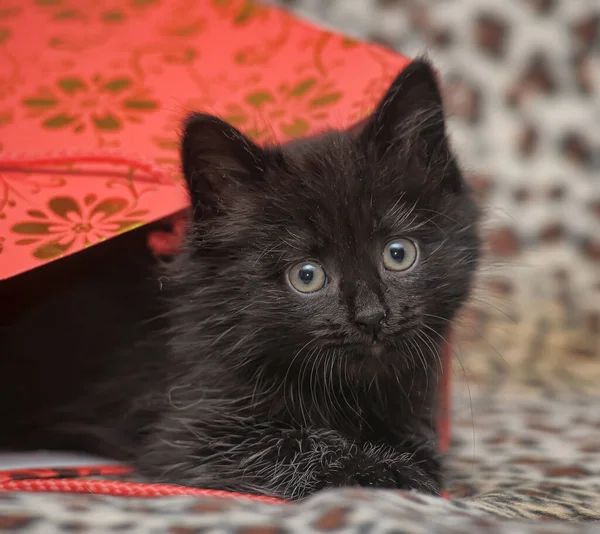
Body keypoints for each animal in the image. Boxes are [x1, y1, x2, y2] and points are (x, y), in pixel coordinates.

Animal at [0, 59, 478, 502]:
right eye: (307, 276)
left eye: (398, 254)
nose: (372, 316)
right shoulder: (189, 430)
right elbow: (286, 442)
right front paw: (379, 470)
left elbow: (416, 436)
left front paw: (410, 457)